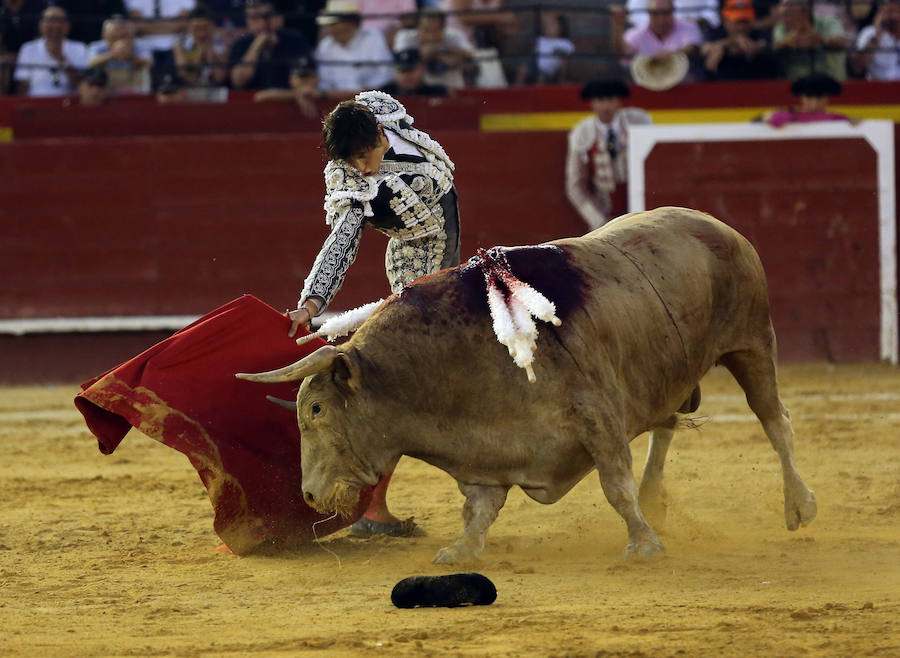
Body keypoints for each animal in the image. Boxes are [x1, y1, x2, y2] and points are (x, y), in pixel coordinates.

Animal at [237, 208, 816, 560]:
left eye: (316, 411)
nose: (310, 494)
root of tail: (718, 225)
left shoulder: (597, 418)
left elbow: (615, 486)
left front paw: (644, 546)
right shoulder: (486, 450)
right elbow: (478, 508)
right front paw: (461, 552)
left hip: (751, 343)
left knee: (775, 422)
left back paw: (799, 506)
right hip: (670, 368)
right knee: (668, 421)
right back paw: (658, 498)